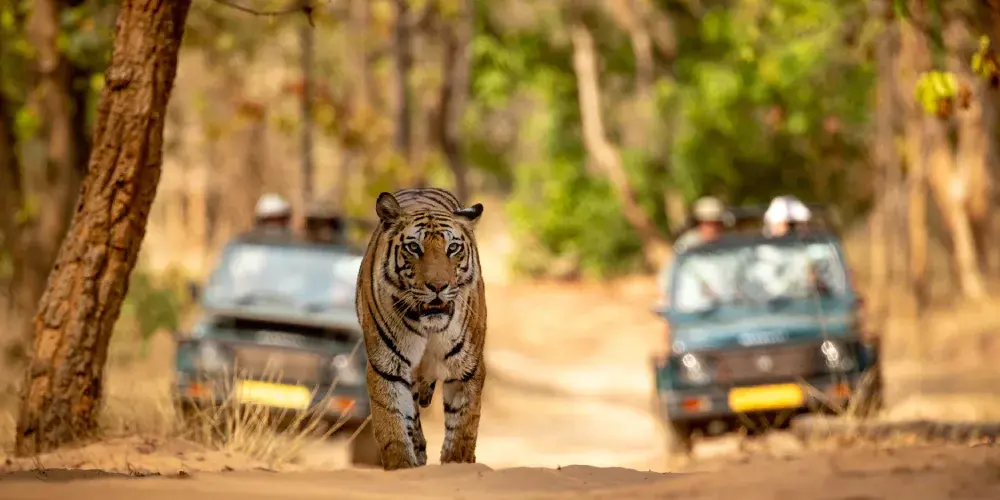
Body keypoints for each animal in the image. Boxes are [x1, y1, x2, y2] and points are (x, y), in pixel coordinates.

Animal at [355, 187, 487, 470]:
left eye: (453, 248)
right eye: (414, 247)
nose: (438, 286)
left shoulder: (467, 368)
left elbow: (463, 425)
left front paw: (457, 463)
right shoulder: (387, 367)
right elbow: (392, 423)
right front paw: (402, 465)